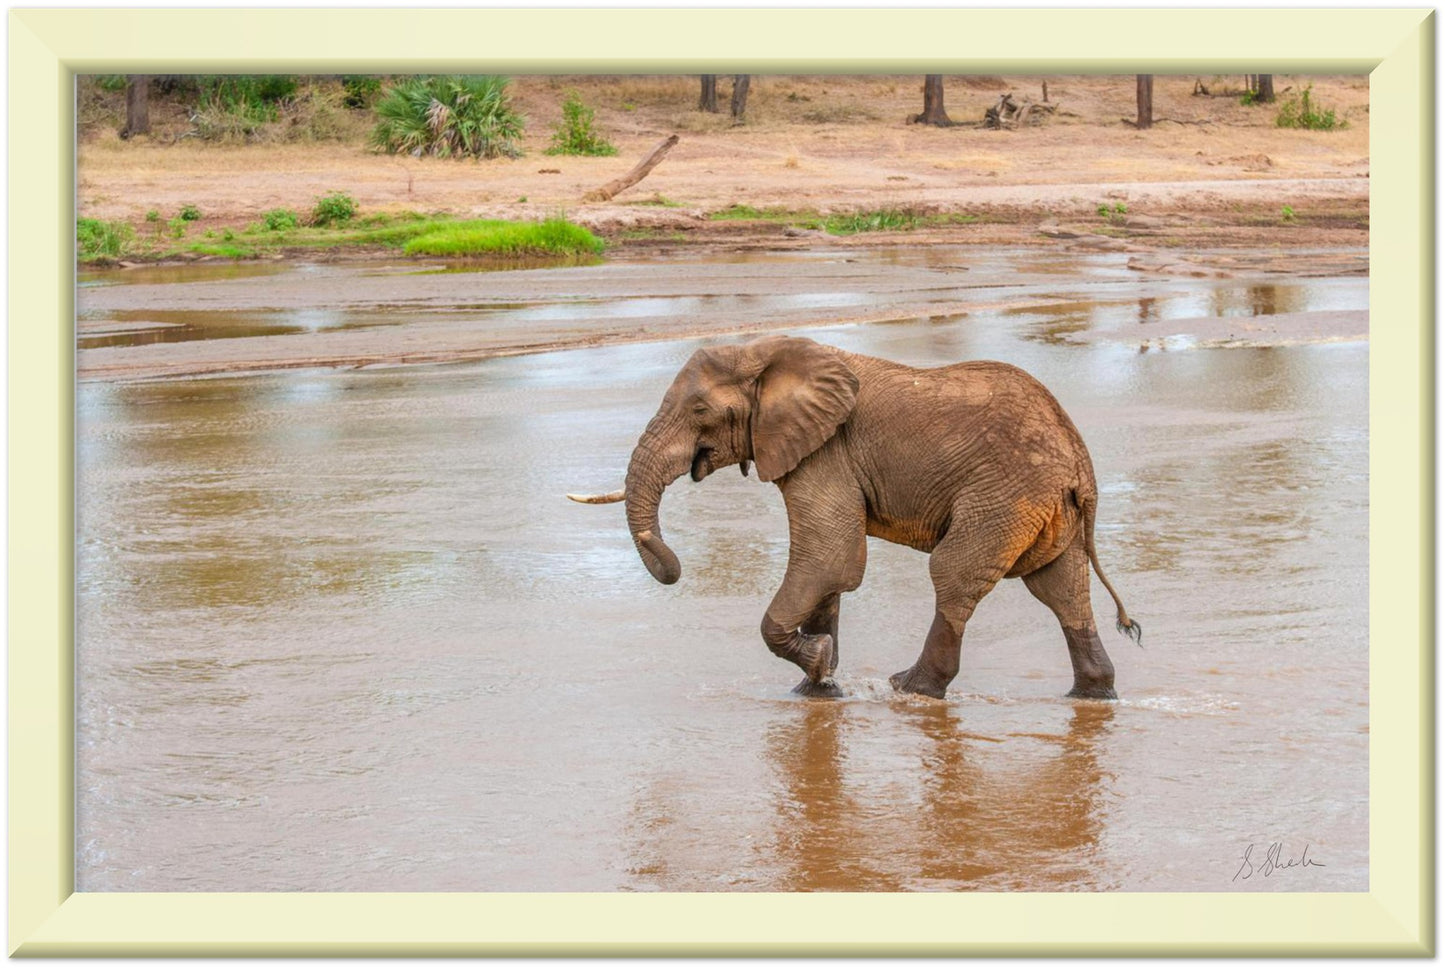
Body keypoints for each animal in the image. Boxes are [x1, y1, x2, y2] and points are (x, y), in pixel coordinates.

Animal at [566, 338, 1138, 702]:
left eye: (699, 411)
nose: (673, 568)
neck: (765, 351)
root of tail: (1080, 464)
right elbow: (829, 575)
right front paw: (817, 689)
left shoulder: (826, 453)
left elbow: (829, 558)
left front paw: (820, 665)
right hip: (1045, 509)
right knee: (1062, 589)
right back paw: (1093, 695)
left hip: (1003, 496)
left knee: (954, 574)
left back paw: (910, 688)